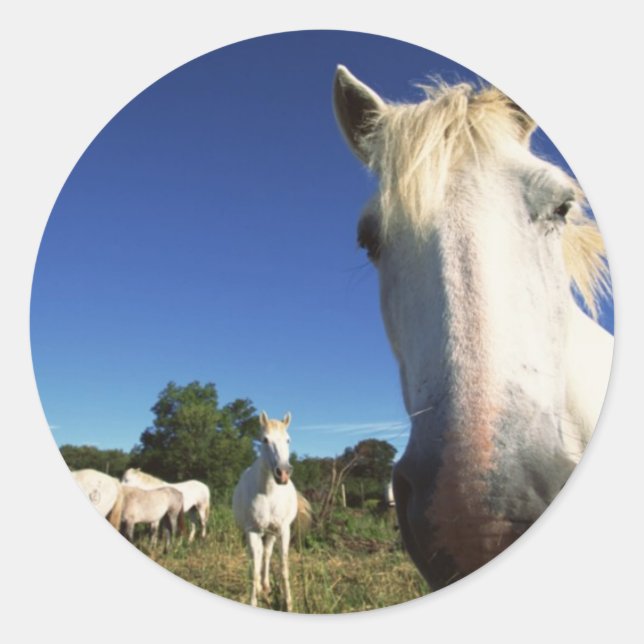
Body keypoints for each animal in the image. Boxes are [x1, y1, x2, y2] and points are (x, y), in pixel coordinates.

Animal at [233, 411, 309, 611]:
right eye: (264, 439)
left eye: (288, 440)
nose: (283, 473)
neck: (268, 493)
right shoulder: (252, 531)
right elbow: (254, 567)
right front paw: (253, 600)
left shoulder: (283, 531)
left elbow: (283, 566)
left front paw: (288, 604)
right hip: (256, 533)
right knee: (257, 556)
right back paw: (261, 588)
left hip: (271, 533)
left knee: (266, 554)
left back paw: (266, 586)